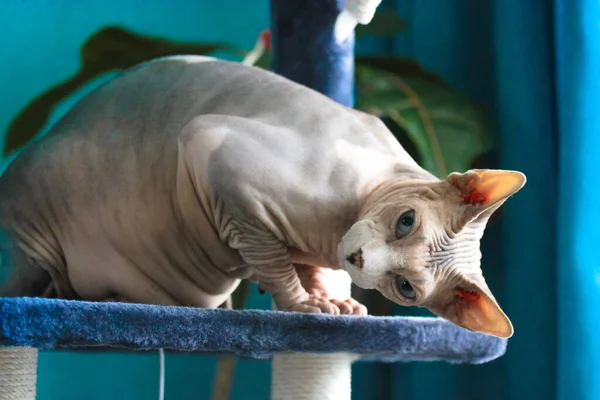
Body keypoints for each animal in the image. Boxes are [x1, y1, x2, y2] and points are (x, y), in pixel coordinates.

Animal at [0, 55, 524, 338]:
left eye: (406, 289)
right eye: (406, 221)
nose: (357, 258)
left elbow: (298, 263)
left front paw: (331, 301)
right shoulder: (215, 158)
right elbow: (272, 261)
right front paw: (305, 305)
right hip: (40, 212)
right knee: (33, 273)